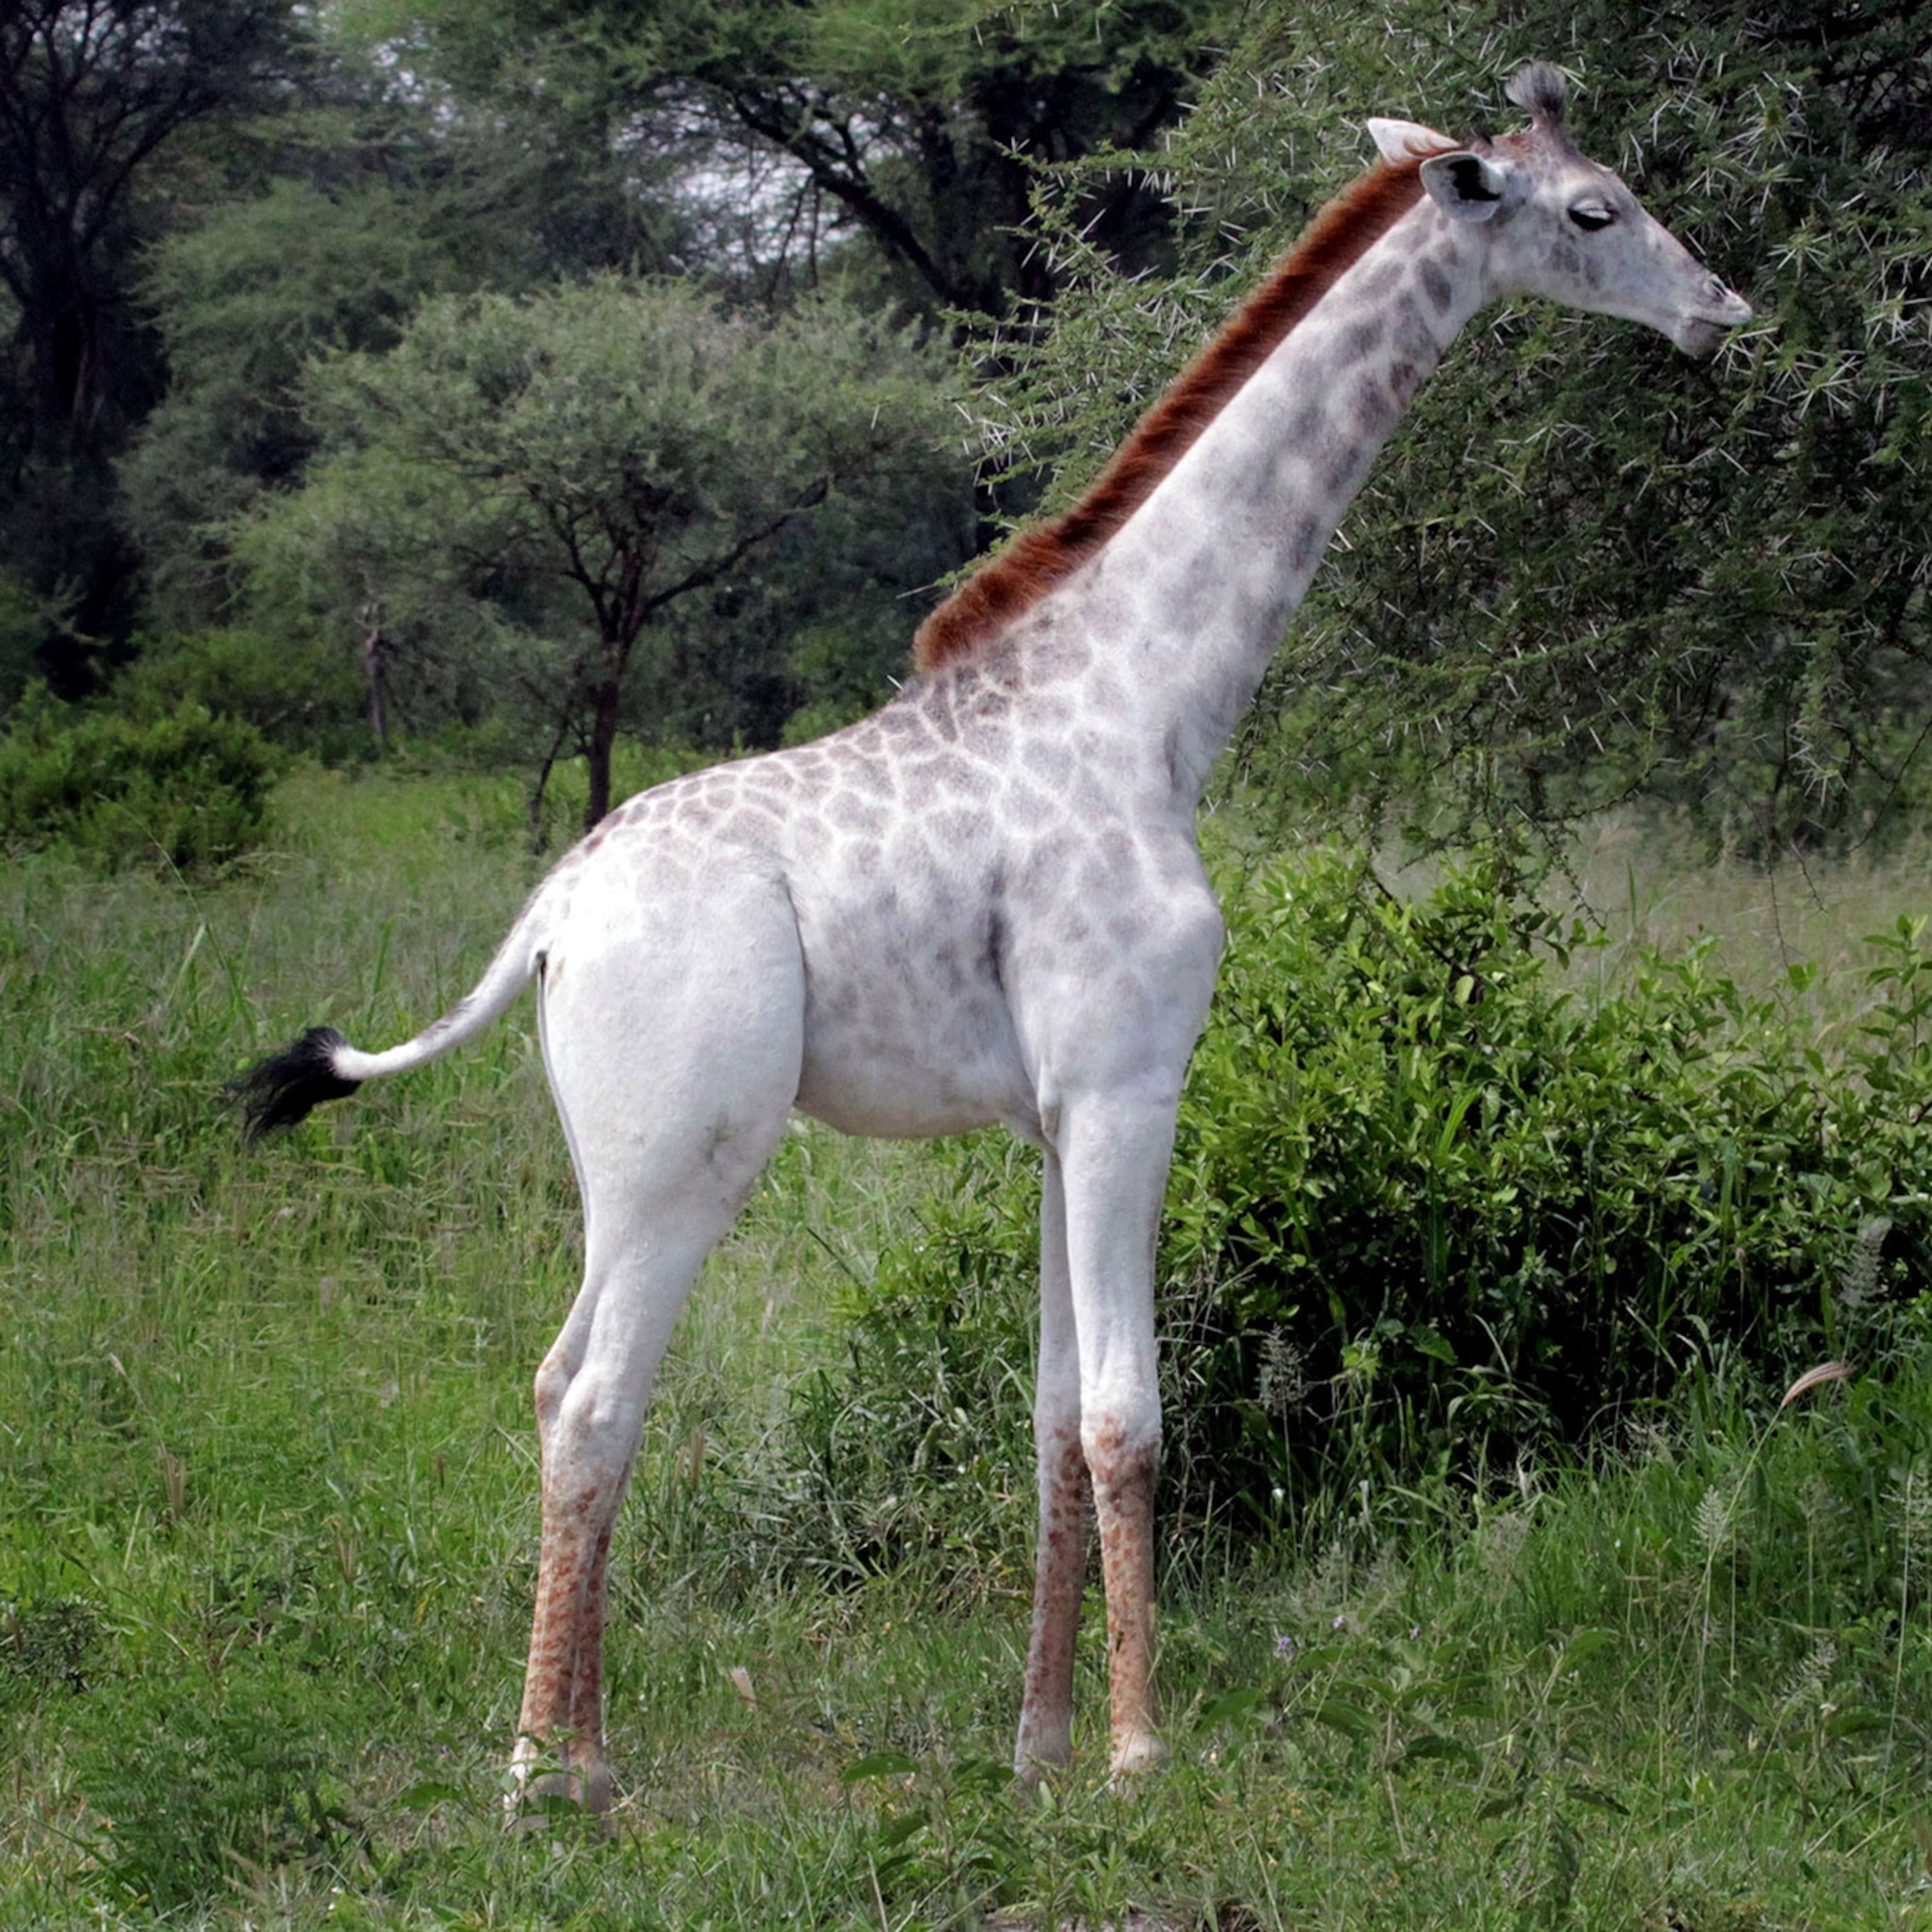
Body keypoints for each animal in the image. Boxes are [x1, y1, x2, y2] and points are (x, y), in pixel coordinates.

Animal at [242, 60, 1754, 1808]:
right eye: (1594, 209)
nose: (1722, 312)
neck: (1149, 708)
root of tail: (550, 915)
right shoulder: (1126, 1087)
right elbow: (1126, 1415)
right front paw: (1139, 1753)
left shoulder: (1047, 1116)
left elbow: (1043, 1413)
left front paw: (1035, 1746)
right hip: (683, 1153)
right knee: (600, 1398)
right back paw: (544, 1777)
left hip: (613, 1166)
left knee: (566, 1382)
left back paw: (588, 1751)